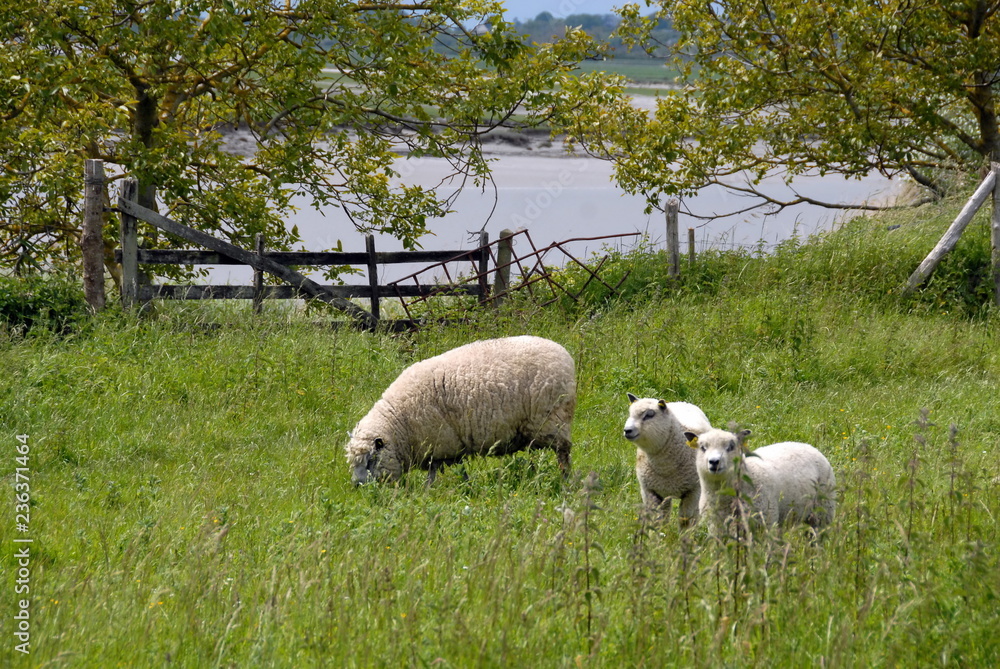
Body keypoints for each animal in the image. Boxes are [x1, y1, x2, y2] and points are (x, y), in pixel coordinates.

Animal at [346, 335, 576, 486]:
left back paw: (566, 481)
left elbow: (437, 473)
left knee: (563, 452)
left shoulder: (440, 443)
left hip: (553, 418)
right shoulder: (446, 446)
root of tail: (565, 355)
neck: (400, 422)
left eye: (370, 461)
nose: (357, 486)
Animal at [623, 393, 713, 526]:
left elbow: (686, 520)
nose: (627, 430)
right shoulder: (649, 491)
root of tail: (681, 402)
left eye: (649, 415)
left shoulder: (694, 491)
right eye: (630, 413)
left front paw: (686, 533)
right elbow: (656, 519)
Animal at [686, 428, 836, 537]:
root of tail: (807, 445)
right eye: (702, 447)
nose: (714, 462)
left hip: (824, 509)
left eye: (731, 447)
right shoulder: (715, 526)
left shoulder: (765, 522)